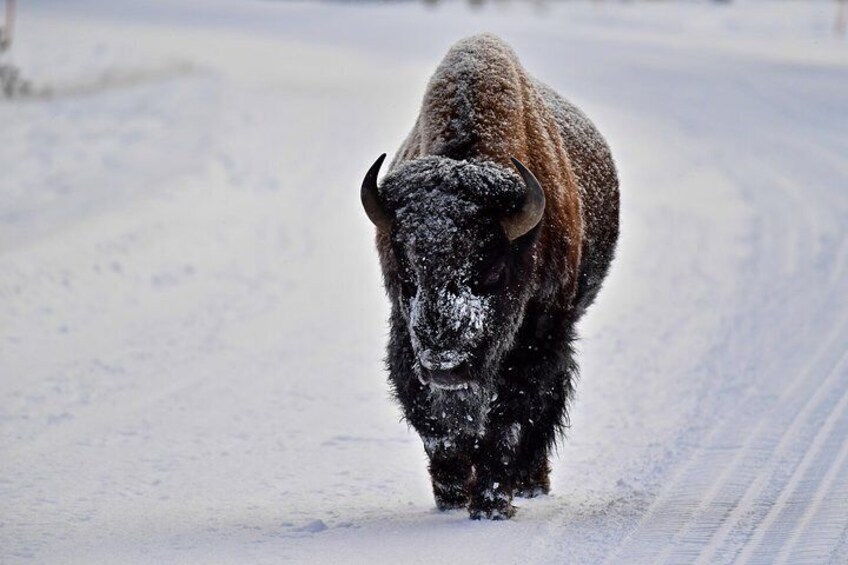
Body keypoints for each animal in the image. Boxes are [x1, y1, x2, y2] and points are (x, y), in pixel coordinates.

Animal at [362, 34, 620, 520]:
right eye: (406, 274)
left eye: (491, 272)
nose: (445, 362)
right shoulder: (405, 341)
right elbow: (437, 426)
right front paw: (452, 497)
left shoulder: (537, 341)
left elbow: (510, 420)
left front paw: (491, 504)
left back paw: (531, 483)